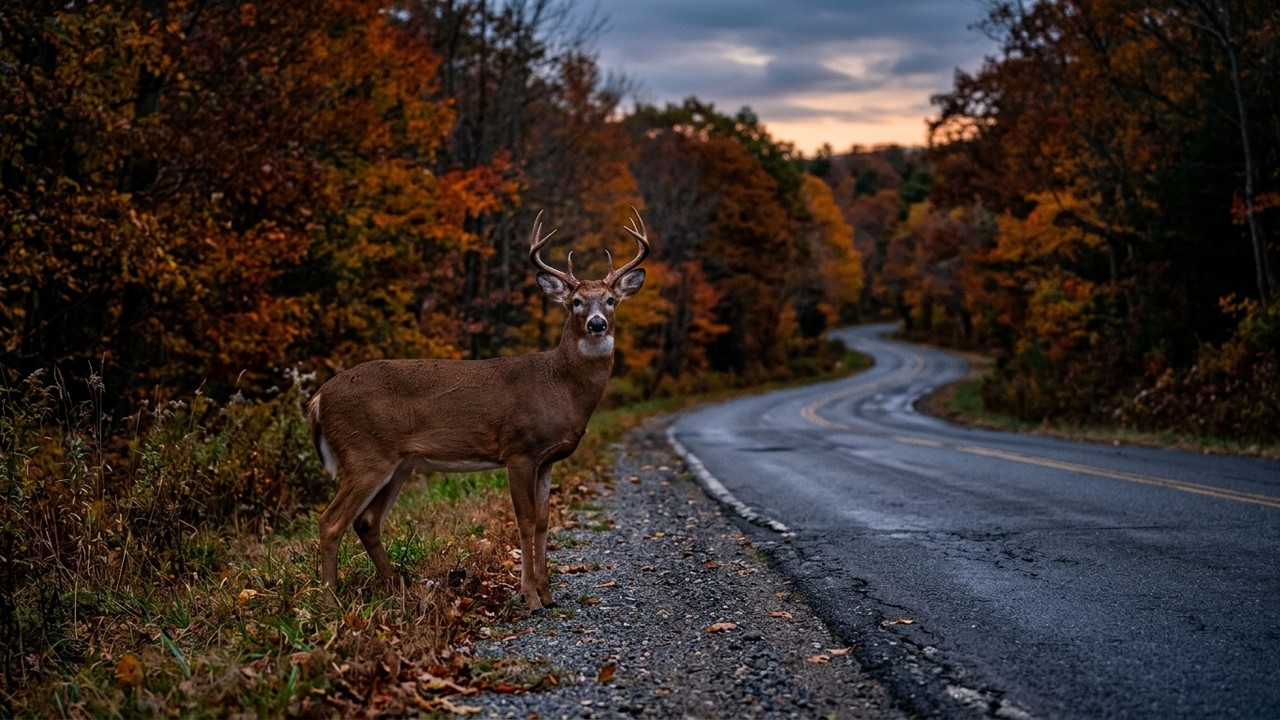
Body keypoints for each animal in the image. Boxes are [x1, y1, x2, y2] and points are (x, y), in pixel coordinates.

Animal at [307, 209, 648, 610]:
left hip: (398, 464)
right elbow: (525, 521)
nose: (597, 323)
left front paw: (548, 595)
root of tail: (318, 398)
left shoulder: (547, 459)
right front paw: (530, 597)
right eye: (576, 301)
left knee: (366, 522)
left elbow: (545, 521)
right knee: (331, 521)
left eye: (610, 299)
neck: (559, 386)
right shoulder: (518, 450)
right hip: (364, 454)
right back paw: (331, 603)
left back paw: (398, 590)